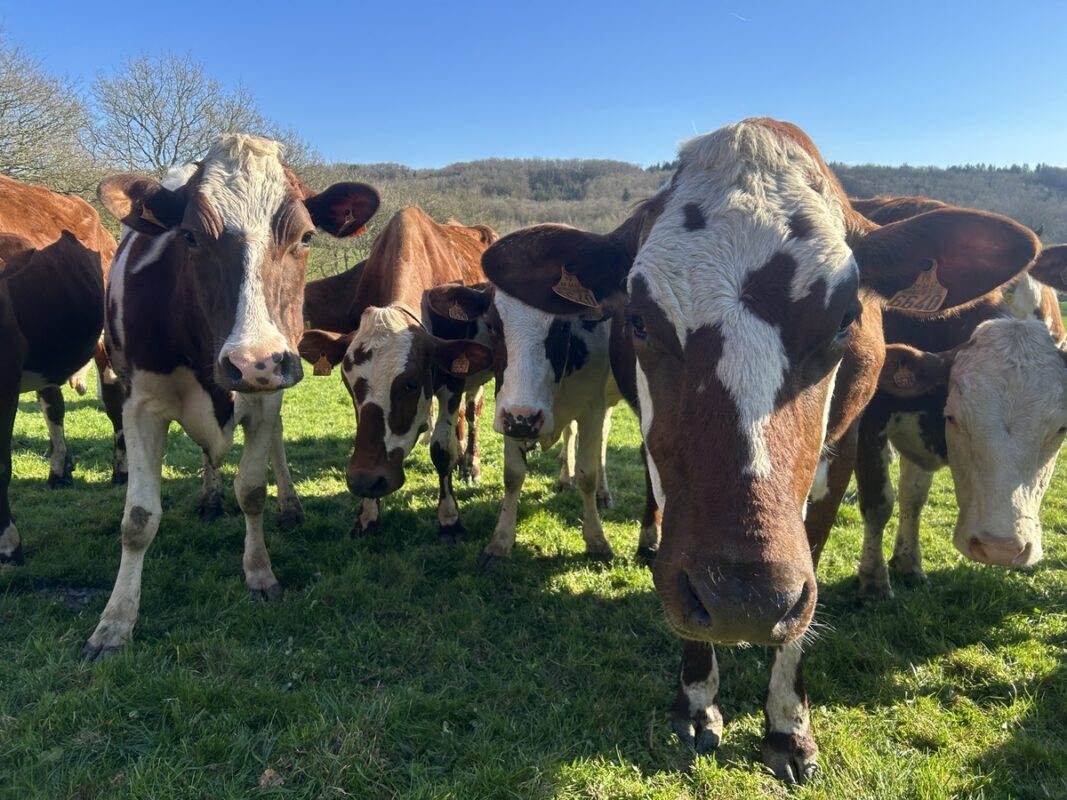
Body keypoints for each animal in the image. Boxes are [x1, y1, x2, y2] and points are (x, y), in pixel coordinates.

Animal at [83, 134, 379, 658]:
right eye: (189, 237)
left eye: (306, 237)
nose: (254, 361)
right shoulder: (139, 405)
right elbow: (138, 519)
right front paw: (115, 620)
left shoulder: (265, 396)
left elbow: (253, 490)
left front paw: (260, 572)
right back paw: (208, 496)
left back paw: (290, 505)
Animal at [297, 207, 495, 542]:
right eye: (349, 385)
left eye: (410, 384)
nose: (367, 480)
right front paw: (367, 515)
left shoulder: (452, 378)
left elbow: (442, 450)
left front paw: (449, 519)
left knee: (471, 413)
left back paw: (470, 466)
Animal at [423, 282, 627, 567]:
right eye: (492, 325)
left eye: (562, 327)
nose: (526, 418)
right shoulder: (510, 413)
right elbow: (513, 475)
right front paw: (500, 542)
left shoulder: (592, 408)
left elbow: (588, 475)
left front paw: (597, 540)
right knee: (569, 432)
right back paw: (564, 478)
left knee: (602, 438)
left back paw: (602, 494)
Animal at [481, 118, 1039, 782]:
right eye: (638, 320)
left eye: (845, 319)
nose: (742, 601)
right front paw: (697, 699)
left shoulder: (845, 447)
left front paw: (788, 727)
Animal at [851, 194, 1067, 598]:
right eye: (954, 417)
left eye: (1062, 429)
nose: (1000, 549)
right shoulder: (870, 419)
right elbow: (878, 501)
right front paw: (873, 582)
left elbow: (913, 496)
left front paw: (909, 563)